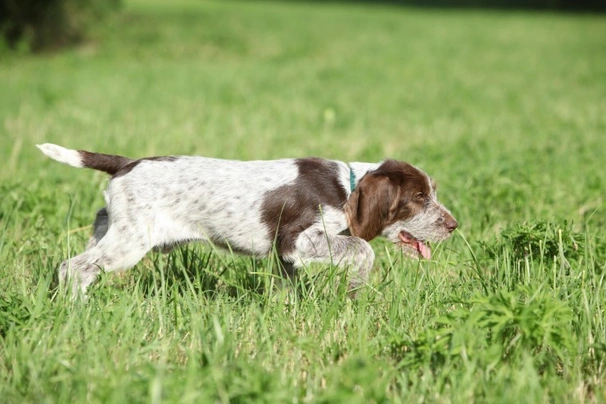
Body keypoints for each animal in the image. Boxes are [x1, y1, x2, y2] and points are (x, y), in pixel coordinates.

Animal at [38, 144, 458, 296]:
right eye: (419, 199)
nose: (453, 225)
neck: (346, 185)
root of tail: (128, 163)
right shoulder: (297, 239)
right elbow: (362, 249)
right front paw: (356, 288)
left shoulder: (288, 256)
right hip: (129, 243)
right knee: (72, 267)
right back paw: (76, 308)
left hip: (113, 229)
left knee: (85, 255)